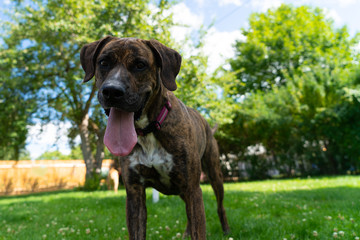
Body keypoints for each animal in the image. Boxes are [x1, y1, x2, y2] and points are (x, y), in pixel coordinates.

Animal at [80, 36, 229, 239]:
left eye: (140, 65)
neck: (147, 131)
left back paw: (226, 230)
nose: (112, 90)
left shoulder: (192, 189)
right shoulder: (134, 194)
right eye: (103, 62)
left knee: (220, 205)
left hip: (214, 174)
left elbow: (199, 229)